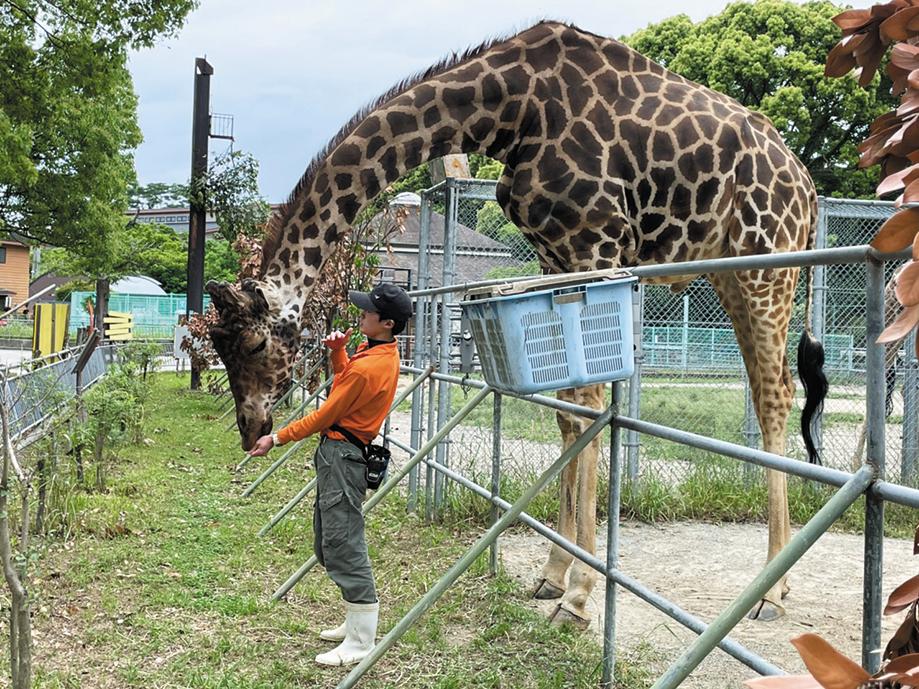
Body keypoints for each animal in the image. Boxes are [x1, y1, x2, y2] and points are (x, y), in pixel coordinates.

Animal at [208, 21, 828, 624]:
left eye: (256, 343)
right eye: (220, 346)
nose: (250, 429)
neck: (509, 111)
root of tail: (809, 190)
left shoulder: (597, 243)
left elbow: (591, 403)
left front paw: (579, 598)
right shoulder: (558, 256)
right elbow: (568, 414)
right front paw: (555, 575)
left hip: (766, 265)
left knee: (774, 395)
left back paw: (772, 593)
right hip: (731, 274)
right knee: (774, 386)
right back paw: (777, 584)